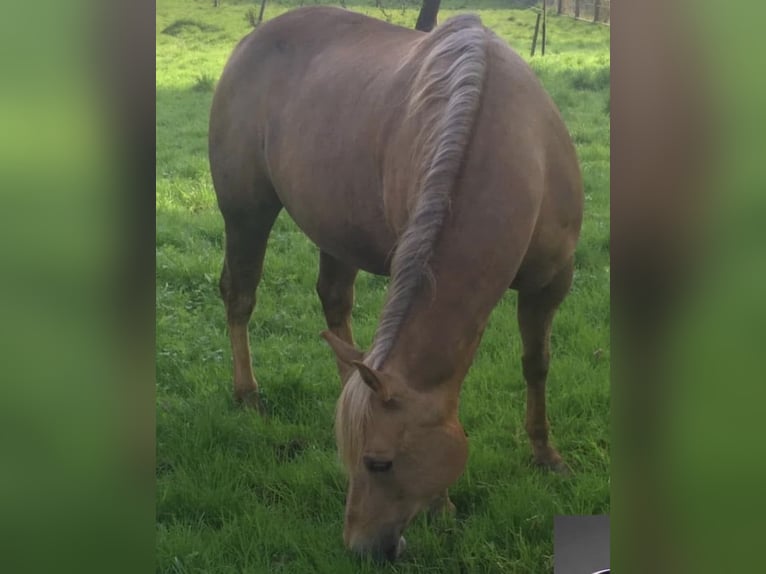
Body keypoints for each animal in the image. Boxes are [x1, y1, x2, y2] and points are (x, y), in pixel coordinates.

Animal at [209, 6, 583, 561]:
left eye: (378, 463)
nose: (359, 549)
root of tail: (251, 40)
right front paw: (443, 505)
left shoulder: (552, 283)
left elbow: (536, 364)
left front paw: (546, 455)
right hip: (245, 212)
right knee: (241, 296)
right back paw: (248, 394)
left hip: (335, 229)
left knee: (334, 303)